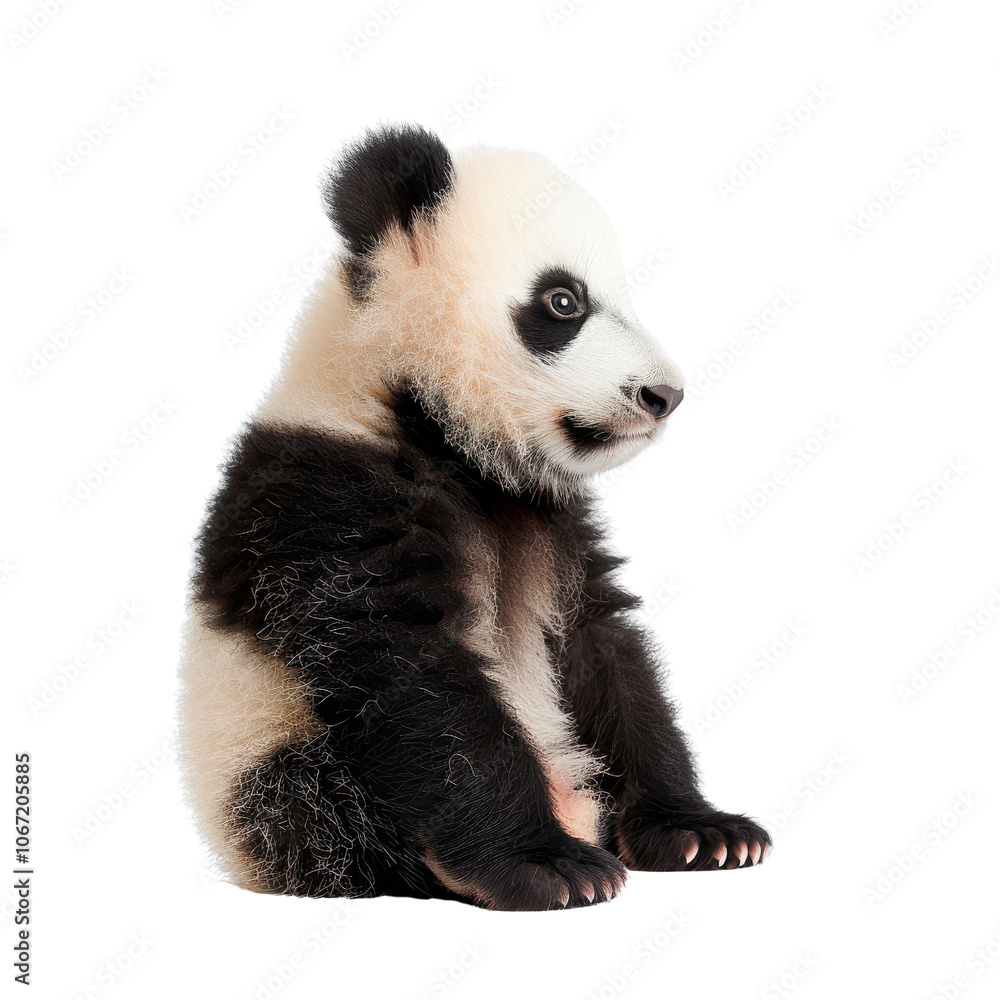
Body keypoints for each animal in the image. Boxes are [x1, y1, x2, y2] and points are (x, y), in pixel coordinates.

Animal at [179, 123, 771, 911]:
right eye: (563, 302)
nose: (663, 395)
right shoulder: (334, 504)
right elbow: (420, 680)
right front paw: (545, 866)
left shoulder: (557, 524)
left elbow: (601, 650)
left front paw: (701, 830)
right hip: (265, 758)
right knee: (315, 806)